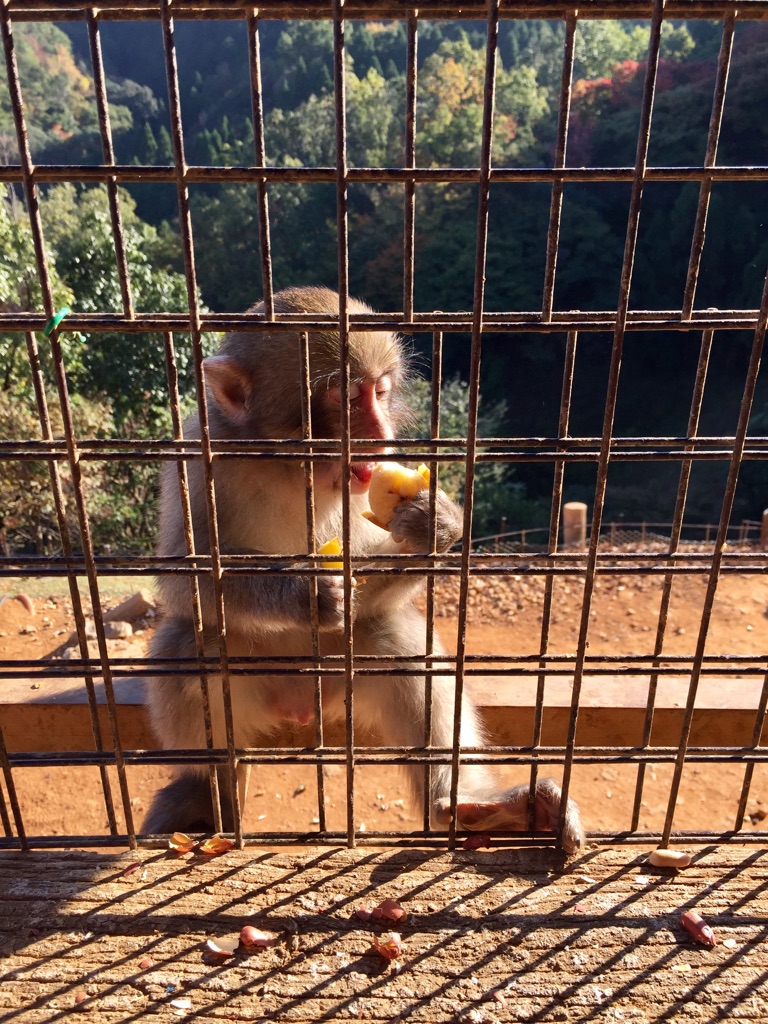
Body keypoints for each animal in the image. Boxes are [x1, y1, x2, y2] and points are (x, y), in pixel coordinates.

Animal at [142, 286, 585, 853]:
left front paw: (434, 526)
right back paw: (207, 790)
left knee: (397, 640)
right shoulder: (198, 461)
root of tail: (297, 707)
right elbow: (184, 577)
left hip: (338, 677)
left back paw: (467, 804)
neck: (293, 470)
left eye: (380, 390)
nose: (379, 431)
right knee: (186, 645)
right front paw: (302, 594)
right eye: (344, 397)